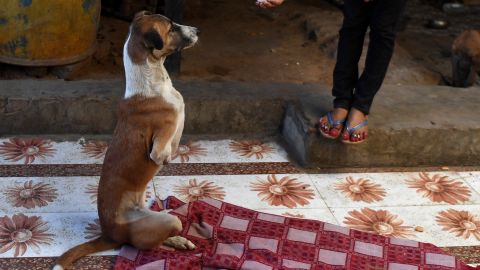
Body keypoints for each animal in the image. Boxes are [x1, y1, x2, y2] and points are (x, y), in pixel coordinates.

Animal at [53, 10, 200, 270]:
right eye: (171, 28)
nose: (197, 31)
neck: (151, 80)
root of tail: (109, 234)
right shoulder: (161, 147)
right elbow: (166, 146)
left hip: (157, 214)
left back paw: (178, 241)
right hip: (168, 221)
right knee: (147, 244)